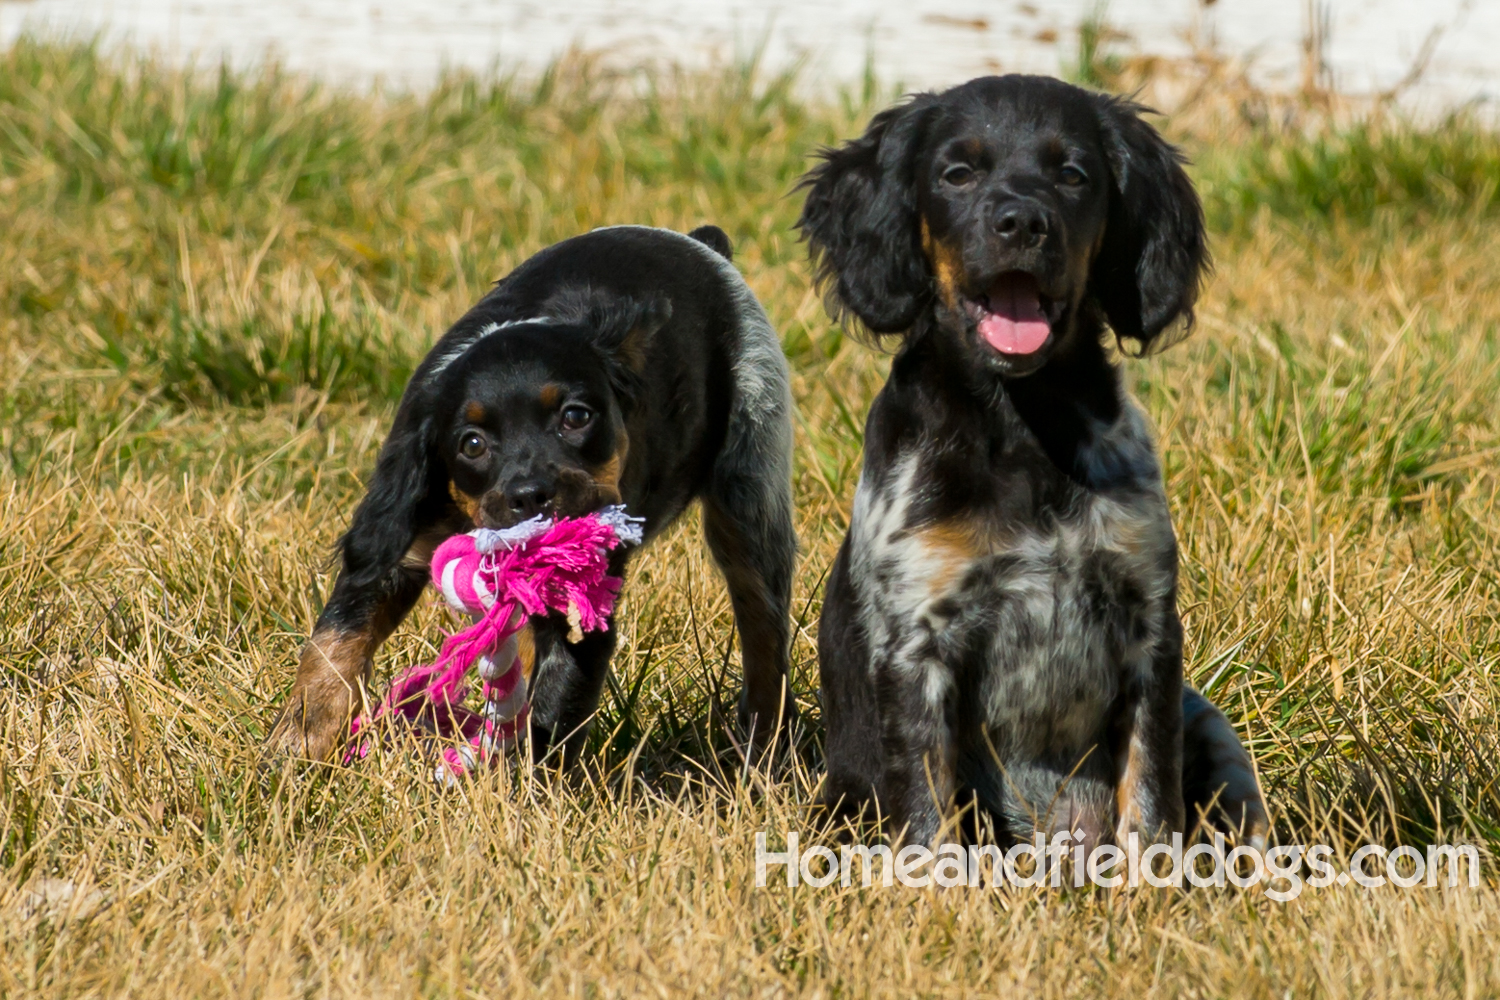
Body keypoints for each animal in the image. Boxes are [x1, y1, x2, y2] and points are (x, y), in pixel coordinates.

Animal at [267, 226, 798, 767]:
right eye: (472, 445)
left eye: (576, 417)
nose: (530, 496)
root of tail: (700, 242)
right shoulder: (393, 538)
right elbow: (335, 643)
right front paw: (295, 747)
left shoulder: (583, 608)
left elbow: (556, 707)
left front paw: (530, 784)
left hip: (750, 482)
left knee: (763, 628)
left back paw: (766, 745)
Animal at [798, 74, 1266, 851]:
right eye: (957, 172)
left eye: (1073, 174)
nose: (1021, 223)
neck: (1023, 425)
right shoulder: (916, 642)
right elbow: (929, 822)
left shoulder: (1148, 629)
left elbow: (1149, 802)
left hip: (1212, 727)